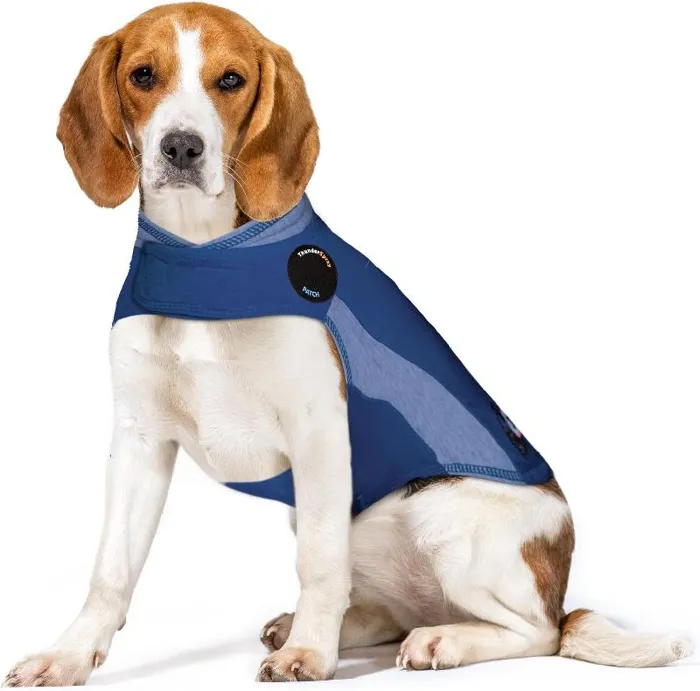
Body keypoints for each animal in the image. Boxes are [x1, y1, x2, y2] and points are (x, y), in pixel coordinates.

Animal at [3, 3, 693, 685]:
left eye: (231, 80)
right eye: (143, 75)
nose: (181, 147)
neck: (203, 253)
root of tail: (560, 585)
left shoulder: (319, 433)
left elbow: (318, 562)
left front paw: (309, 654)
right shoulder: (140, 438)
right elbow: (110, 571)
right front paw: (70, 655)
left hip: (438, 513)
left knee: (539, 633)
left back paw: (441, 640)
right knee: (393, 612)